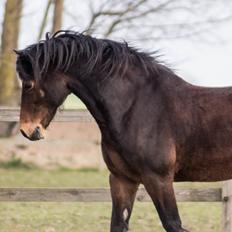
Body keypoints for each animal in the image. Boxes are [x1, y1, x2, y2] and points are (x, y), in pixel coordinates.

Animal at [14, 30, 232, 232]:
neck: (136, 106)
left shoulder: (159, 179)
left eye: (28, 84)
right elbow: (118, 224)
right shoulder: (122, 179)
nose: (27, 130)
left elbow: (173, 224)